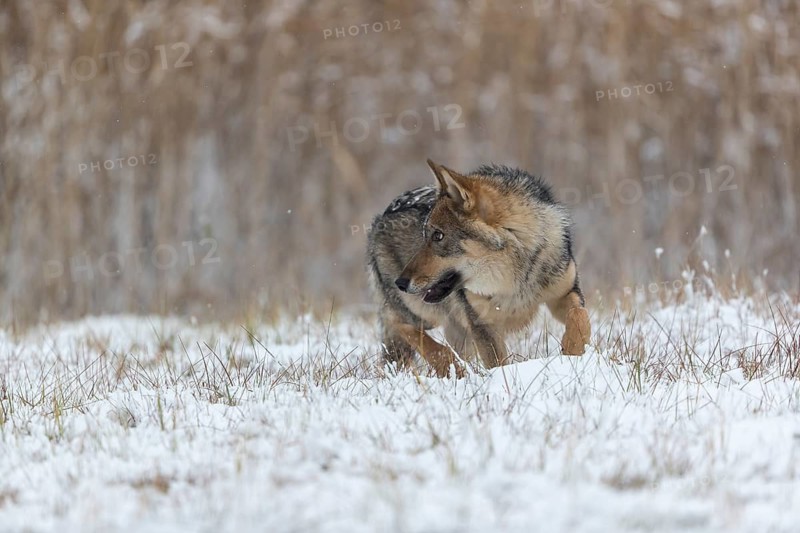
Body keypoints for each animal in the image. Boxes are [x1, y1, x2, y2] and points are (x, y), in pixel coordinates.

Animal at [367, 160, 591, 377]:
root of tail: (380, 218)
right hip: (422, 315)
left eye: (438, 236)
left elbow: (580, 315)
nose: (400, 282)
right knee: (401, 326)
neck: (512, 281)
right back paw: (448, 365)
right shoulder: (483, 326)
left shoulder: (565, 294)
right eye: (424, 236)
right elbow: (499, 366)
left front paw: (573, 350)